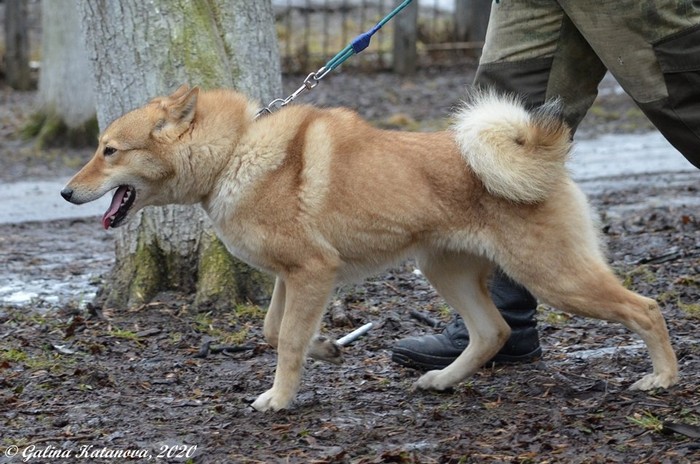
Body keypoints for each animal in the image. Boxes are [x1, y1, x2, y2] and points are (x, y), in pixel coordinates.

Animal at [61, 84, 678, 411]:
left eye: (109, 150)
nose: (66, 192)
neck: (236, 151)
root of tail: (538, 153)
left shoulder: (313, 272)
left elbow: (286, 342)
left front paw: (279, 398)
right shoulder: (291, 278)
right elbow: (275, 332)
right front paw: (327, 349)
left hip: (556, 278)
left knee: (646, 308)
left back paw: (664, 378)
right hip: (445, 272)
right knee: (494, 332)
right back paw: (442, 379)